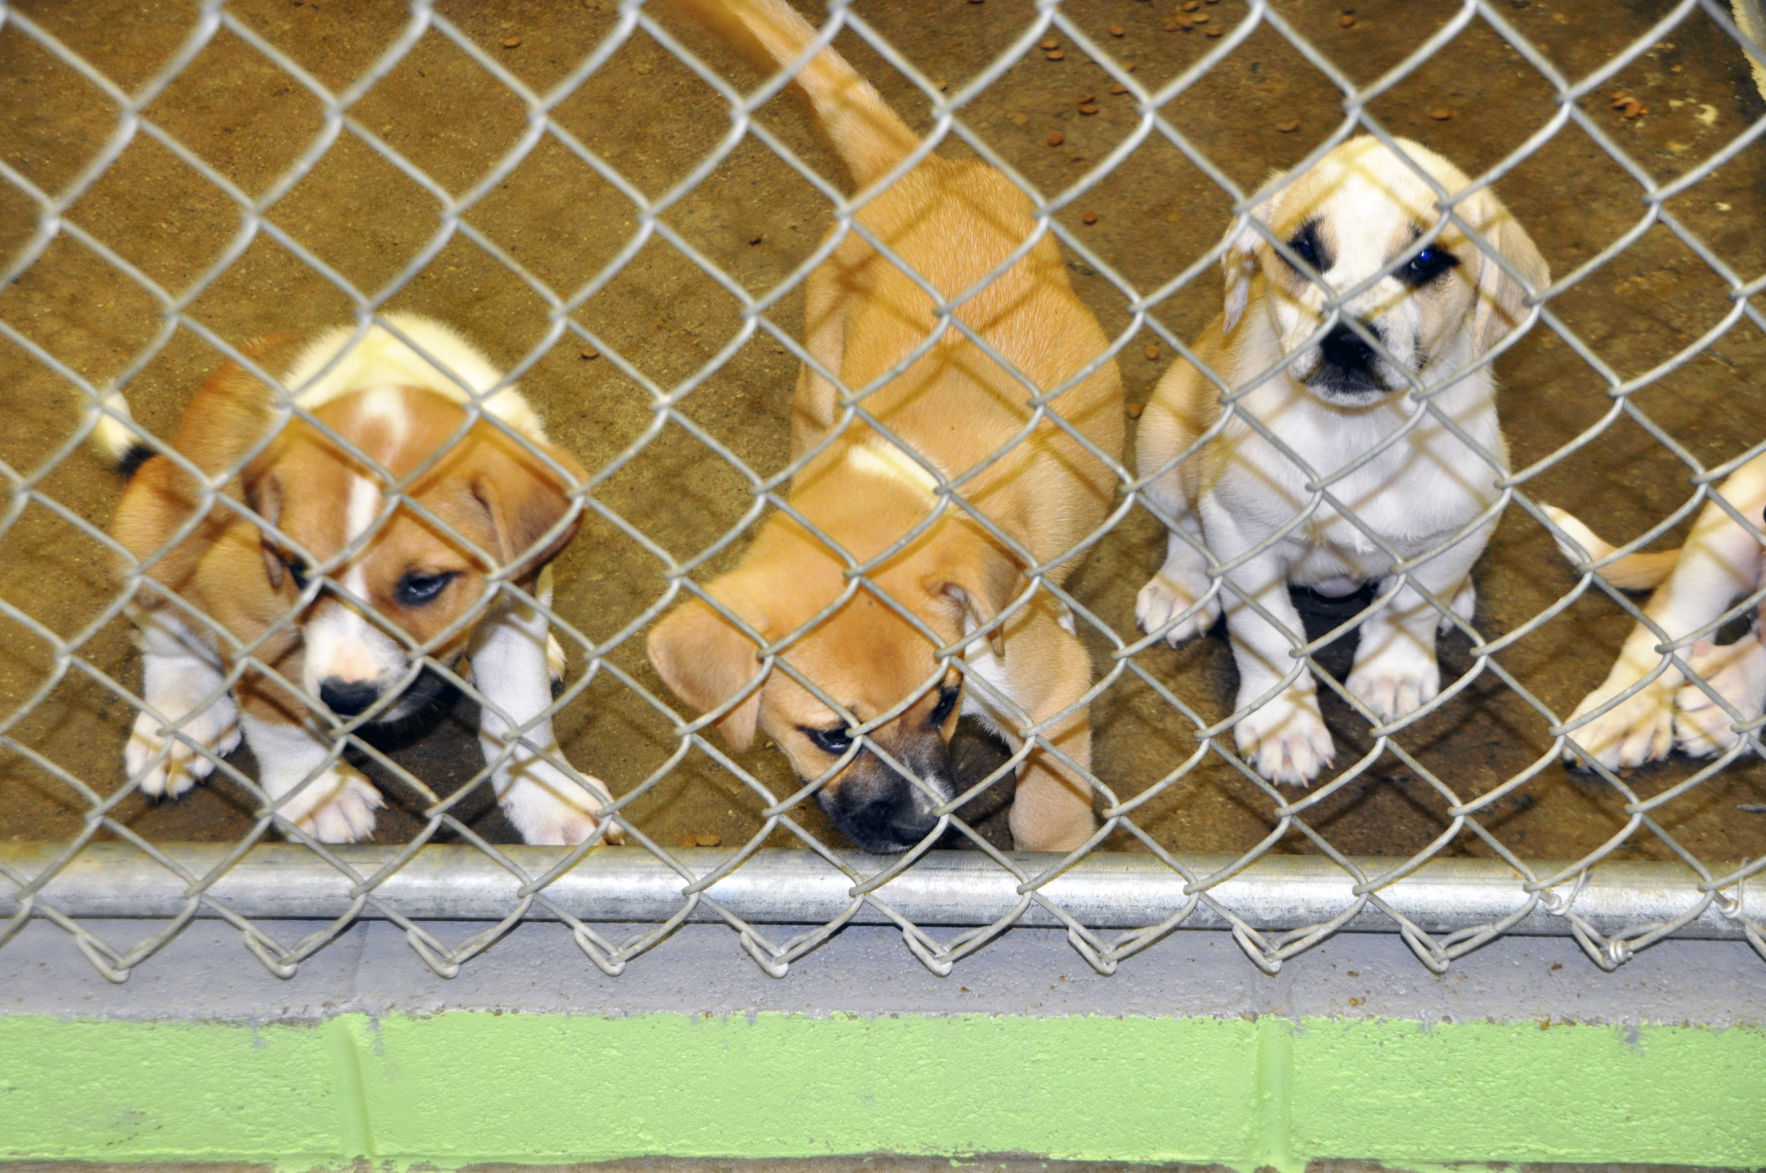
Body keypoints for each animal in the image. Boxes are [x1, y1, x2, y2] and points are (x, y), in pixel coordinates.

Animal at [98, 310, 621, 844]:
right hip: (144, 535)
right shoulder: (244, 606)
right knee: (167, 644)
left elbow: (523, 711)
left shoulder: (516, 600)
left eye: (424, 583)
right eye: (298, 571)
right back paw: (180, 723)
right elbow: (280, 718)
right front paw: (319, 795)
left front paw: (549, 799)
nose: (344, 698)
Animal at [646, 0, 1116, 851]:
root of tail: (912, 169)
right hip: (817, 378)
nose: (922, 827)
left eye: (943, 701)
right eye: (833, 735)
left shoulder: (1054, 686)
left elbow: (1048, 809)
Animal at [1137, 137, 1554, 787]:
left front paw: (1393, 675)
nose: (1348, 340)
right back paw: (1181, 589)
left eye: (1426, 259)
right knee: (1182, 527)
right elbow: (1267, 631)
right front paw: (1284, 726)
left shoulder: (1471, 515)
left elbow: (1411, 603)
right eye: (1303, 250)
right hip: (1162, 438)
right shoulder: (1241, 530)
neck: (1360, 436)